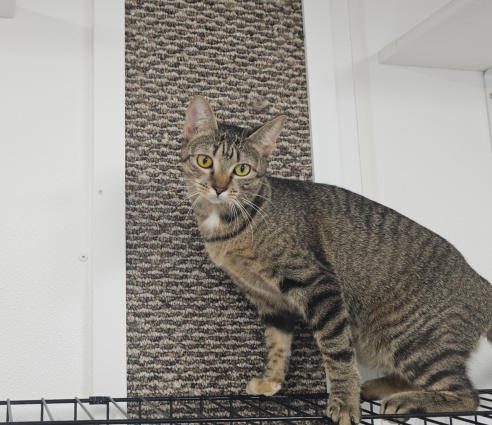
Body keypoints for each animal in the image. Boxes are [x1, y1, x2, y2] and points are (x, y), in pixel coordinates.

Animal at [181, 95, 492, 425]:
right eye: (205, 161)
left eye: (242, 169)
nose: (219, 187)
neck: (226, 227)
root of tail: (481, 283)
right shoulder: (268, 300)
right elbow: (278, 345)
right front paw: (272, 381)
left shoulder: (318, 284)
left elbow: (337, 351)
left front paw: (343, 402)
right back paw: (377, 388)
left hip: (417, 342)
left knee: (466, 395)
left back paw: (405, 402)